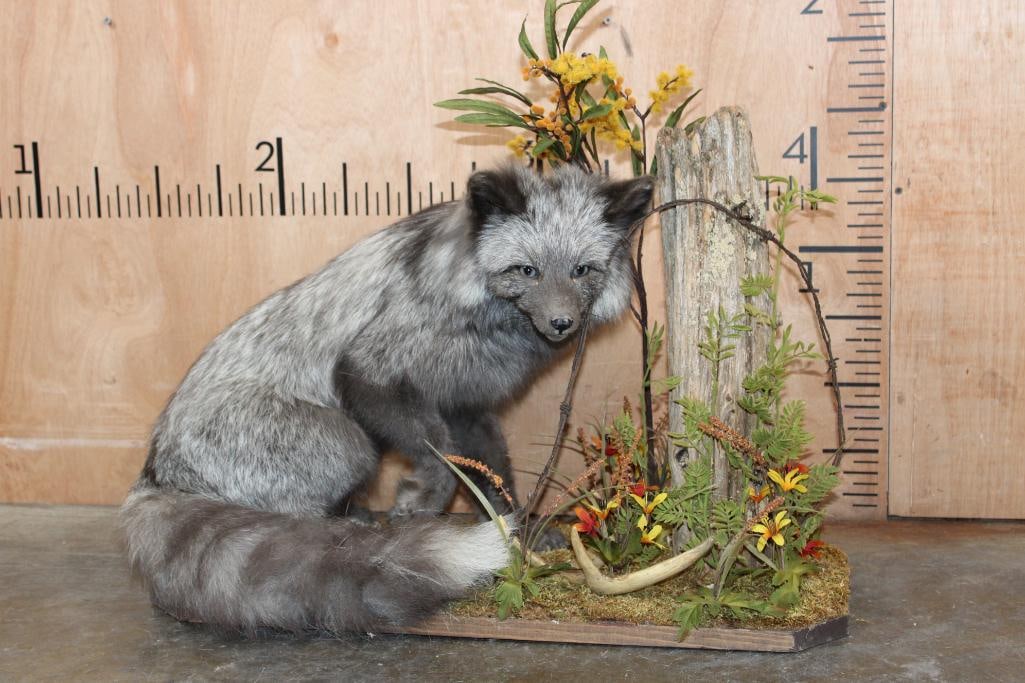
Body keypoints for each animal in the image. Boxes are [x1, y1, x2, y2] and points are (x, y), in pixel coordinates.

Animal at [120, 163, 654, 633]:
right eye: (528, 271)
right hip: (348, 444)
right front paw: (421, 504)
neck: (482, 319)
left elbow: (491, 477)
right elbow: (440, 459)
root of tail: (153, 472)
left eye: (582, 270)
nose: (562, 323)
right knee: (295, 517)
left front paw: (519, 533)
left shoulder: (464, 406)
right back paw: (354, 535)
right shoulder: (370, 370)